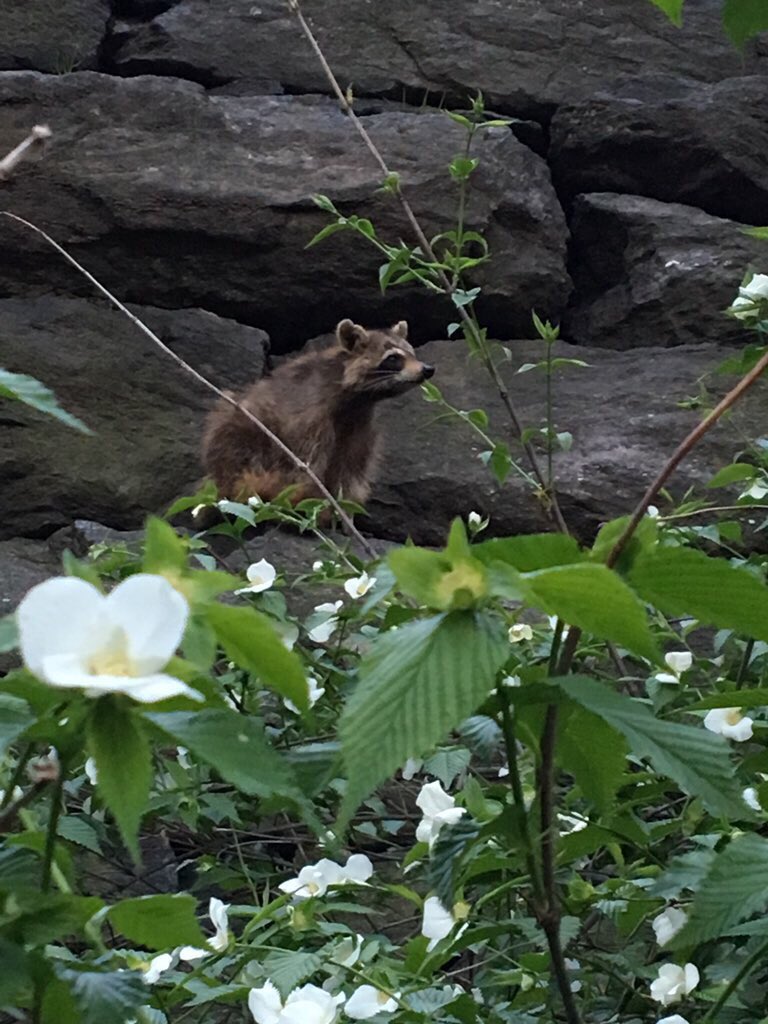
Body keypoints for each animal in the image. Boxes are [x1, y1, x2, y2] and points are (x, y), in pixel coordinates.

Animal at [201, 319, 434, 507]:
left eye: (413, 353)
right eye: (393, 358)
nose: (427, 369)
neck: (359, 399)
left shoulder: (360, 425)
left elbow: (350, 469)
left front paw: (344, 509)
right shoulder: (308, 418)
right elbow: (306, 465)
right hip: (239, 434)